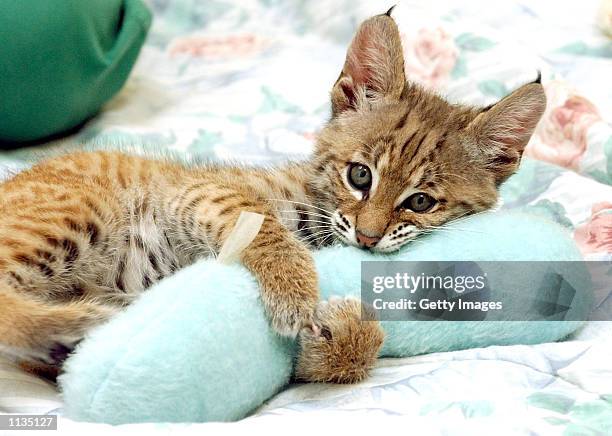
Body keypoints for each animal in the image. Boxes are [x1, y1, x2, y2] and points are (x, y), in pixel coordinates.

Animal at [0, 11, 544, 384]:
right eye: (360, 176)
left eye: (421, 203)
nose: (368, 239)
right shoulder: (198, 190)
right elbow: (265, 224)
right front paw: (296, 295)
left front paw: (341, 337)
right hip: (80, 211)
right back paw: (81, 319)